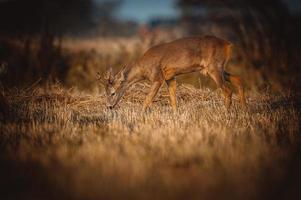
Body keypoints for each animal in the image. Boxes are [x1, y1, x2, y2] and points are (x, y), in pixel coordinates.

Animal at [97, 35, 245, 111]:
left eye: (113, 93)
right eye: (105, 92)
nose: (109, 106)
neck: (143, 69)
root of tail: (228, 45)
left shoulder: (158, 77)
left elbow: (147, 100)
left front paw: (141, 116)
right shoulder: (170, 77)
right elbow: (173, 101)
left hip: (214, 67)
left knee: (227, 90)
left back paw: (227, 114)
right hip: (214, 68)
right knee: (238, 79)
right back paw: (243, 110)